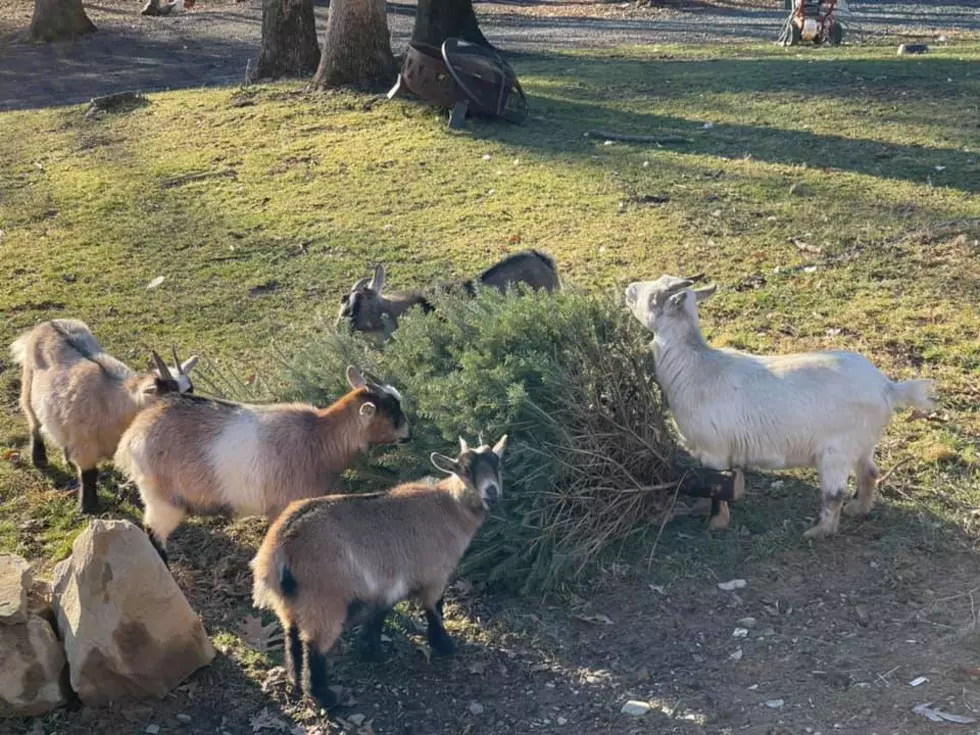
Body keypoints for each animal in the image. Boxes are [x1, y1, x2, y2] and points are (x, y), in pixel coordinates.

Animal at [8, 320, 197, 516]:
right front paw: (88, 507)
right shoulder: (85, 446)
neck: (114, 402)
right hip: (28, 389)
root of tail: (47, 324)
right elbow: (89, 474)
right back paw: (39, 459)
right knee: (34, 423)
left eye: (190, 389)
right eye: (168, 395)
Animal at [114, 366, 410, 560]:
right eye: (392, 414)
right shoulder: (284, 506)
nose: (408, 434)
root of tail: (135, 433)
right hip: (161, 499)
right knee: (154, 534)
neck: (319, 438)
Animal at [249, 434, 510, 712]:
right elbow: (435, 611)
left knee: (293, 637)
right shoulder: (434, 575)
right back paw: (324, 696)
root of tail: (277, 549)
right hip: (323, 601)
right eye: (465, 469)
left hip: (290, 602)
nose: (492, 492)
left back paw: (295, 679)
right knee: (314, 647)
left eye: (498, 465)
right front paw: (444, 645)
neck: (448, 507)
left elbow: (378, 614)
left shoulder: (384, 584)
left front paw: (372, 651)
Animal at [624, 276, 936, 540]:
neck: (696, 366)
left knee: (834, 494)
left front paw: (716, 523)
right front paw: (700, 507)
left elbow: (720, 489)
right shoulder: (704, 452)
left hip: (836, 451)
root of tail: (887, 387)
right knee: (869, 472)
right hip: (861, 443)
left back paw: (819, 532)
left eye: (654, 297)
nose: (629, 288)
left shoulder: (715, 450)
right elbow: (709, 483)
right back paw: (858, 509)